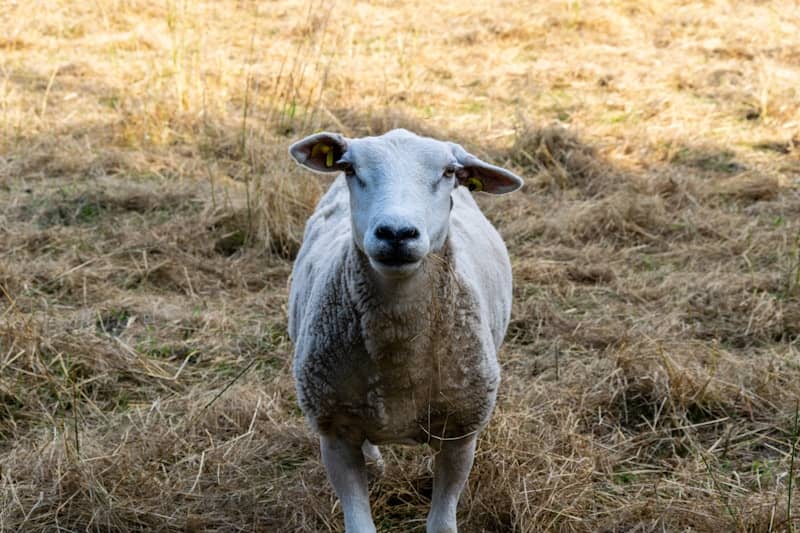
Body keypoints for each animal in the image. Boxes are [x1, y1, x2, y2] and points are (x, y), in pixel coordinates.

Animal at [287, 128, 523, 533]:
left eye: (449, 172)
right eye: (349, 168)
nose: (396, 233)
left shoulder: (461, 434)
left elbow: (442, 523)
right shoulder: (334, 434)